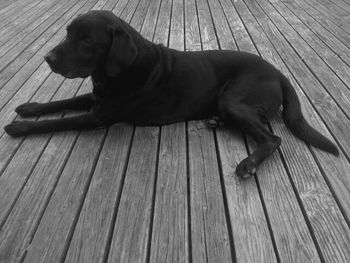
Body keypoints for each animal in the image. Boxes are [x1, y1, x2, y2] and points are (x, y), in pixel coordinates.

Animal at [4, 11, 340, 178]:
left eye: (86, 40)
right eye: (67, 33)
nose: (47, 58)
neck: (120, 70)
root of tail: (279, 72)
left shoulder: (98, 116)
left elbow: (58, 121)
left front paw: (19, 127)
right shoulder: (97, 98)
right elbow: (62, 103)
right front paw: (29, 107)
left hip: (233, 99)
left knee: (272, 138)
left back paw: (249, 163)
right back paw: (217, 122)